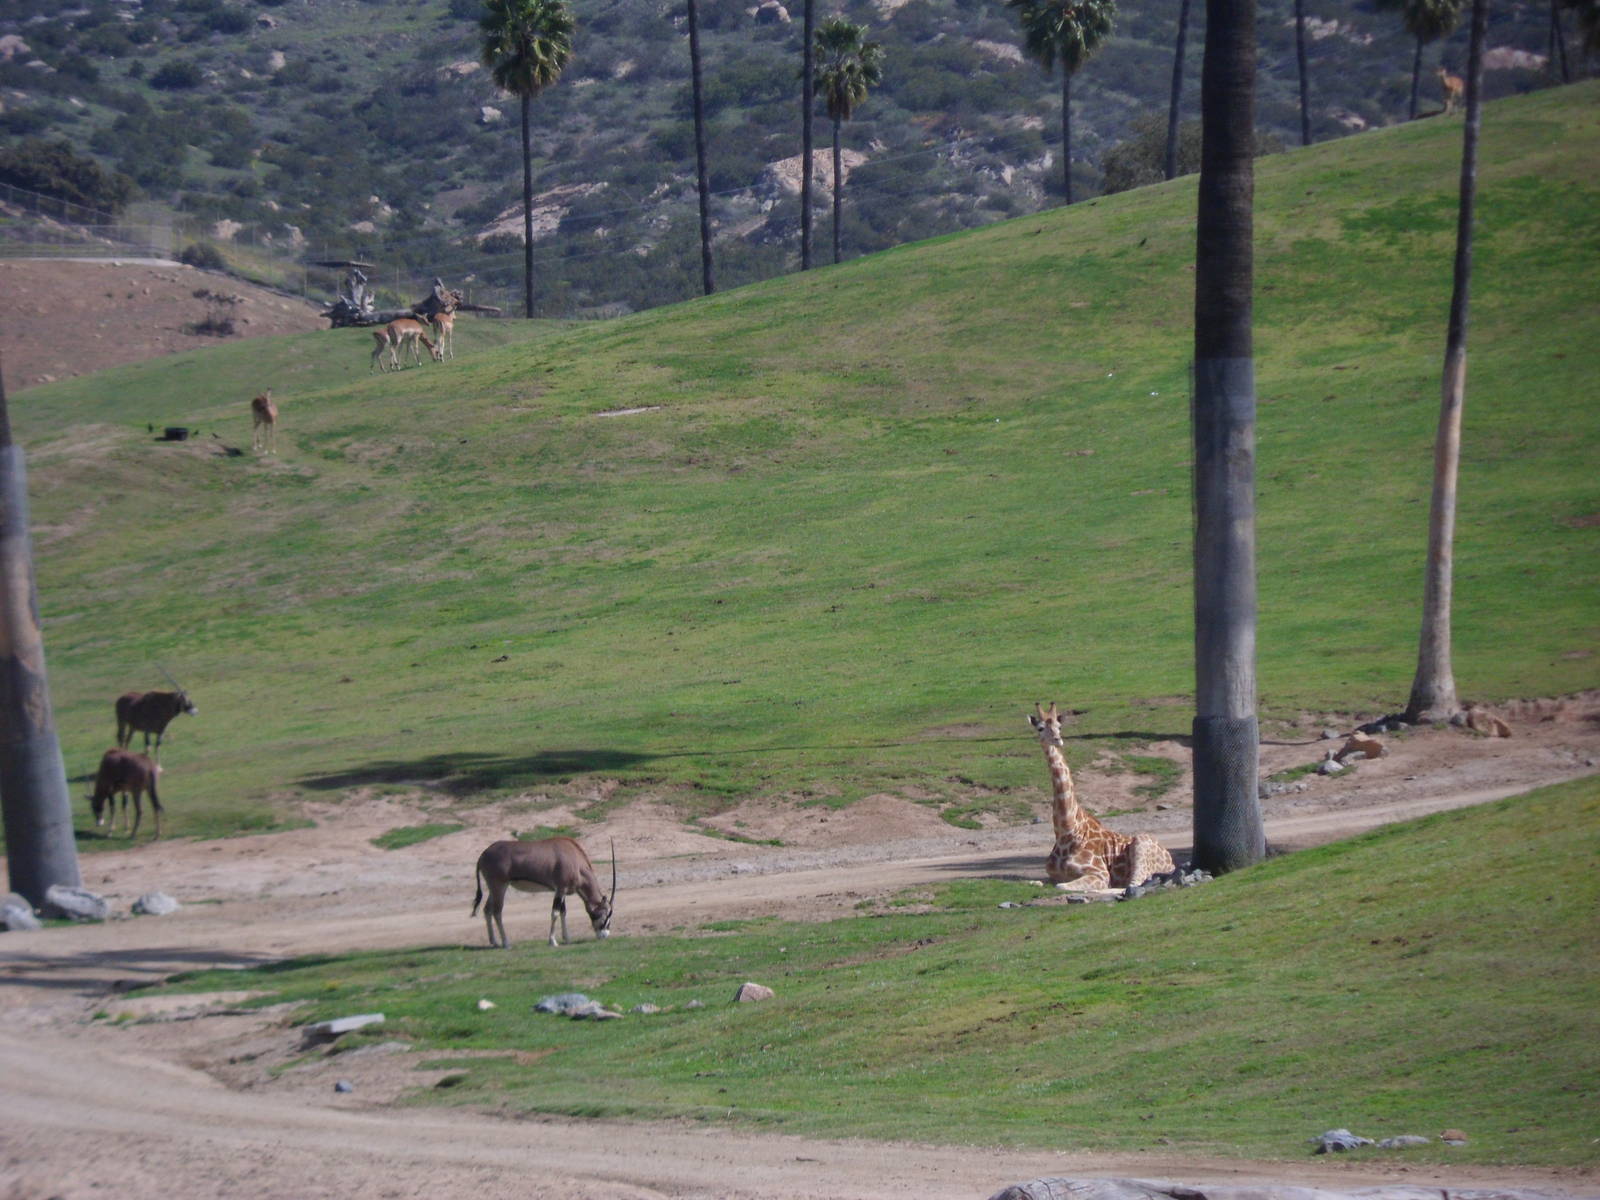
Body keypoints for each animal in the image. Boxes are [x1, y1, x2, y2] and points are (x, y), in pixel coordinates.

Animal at [1029, 701, 1176, 890]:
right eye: (1040, 728)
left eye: (1059, 726)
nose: (1057, 740)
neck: (1067, 832)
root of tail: (1171, 860)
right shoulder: (1051, 875)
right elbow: (1036, 882)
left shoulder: (1100, 874)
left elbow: (1061, 886)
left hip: (1141, 845)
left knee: (1132, 885)